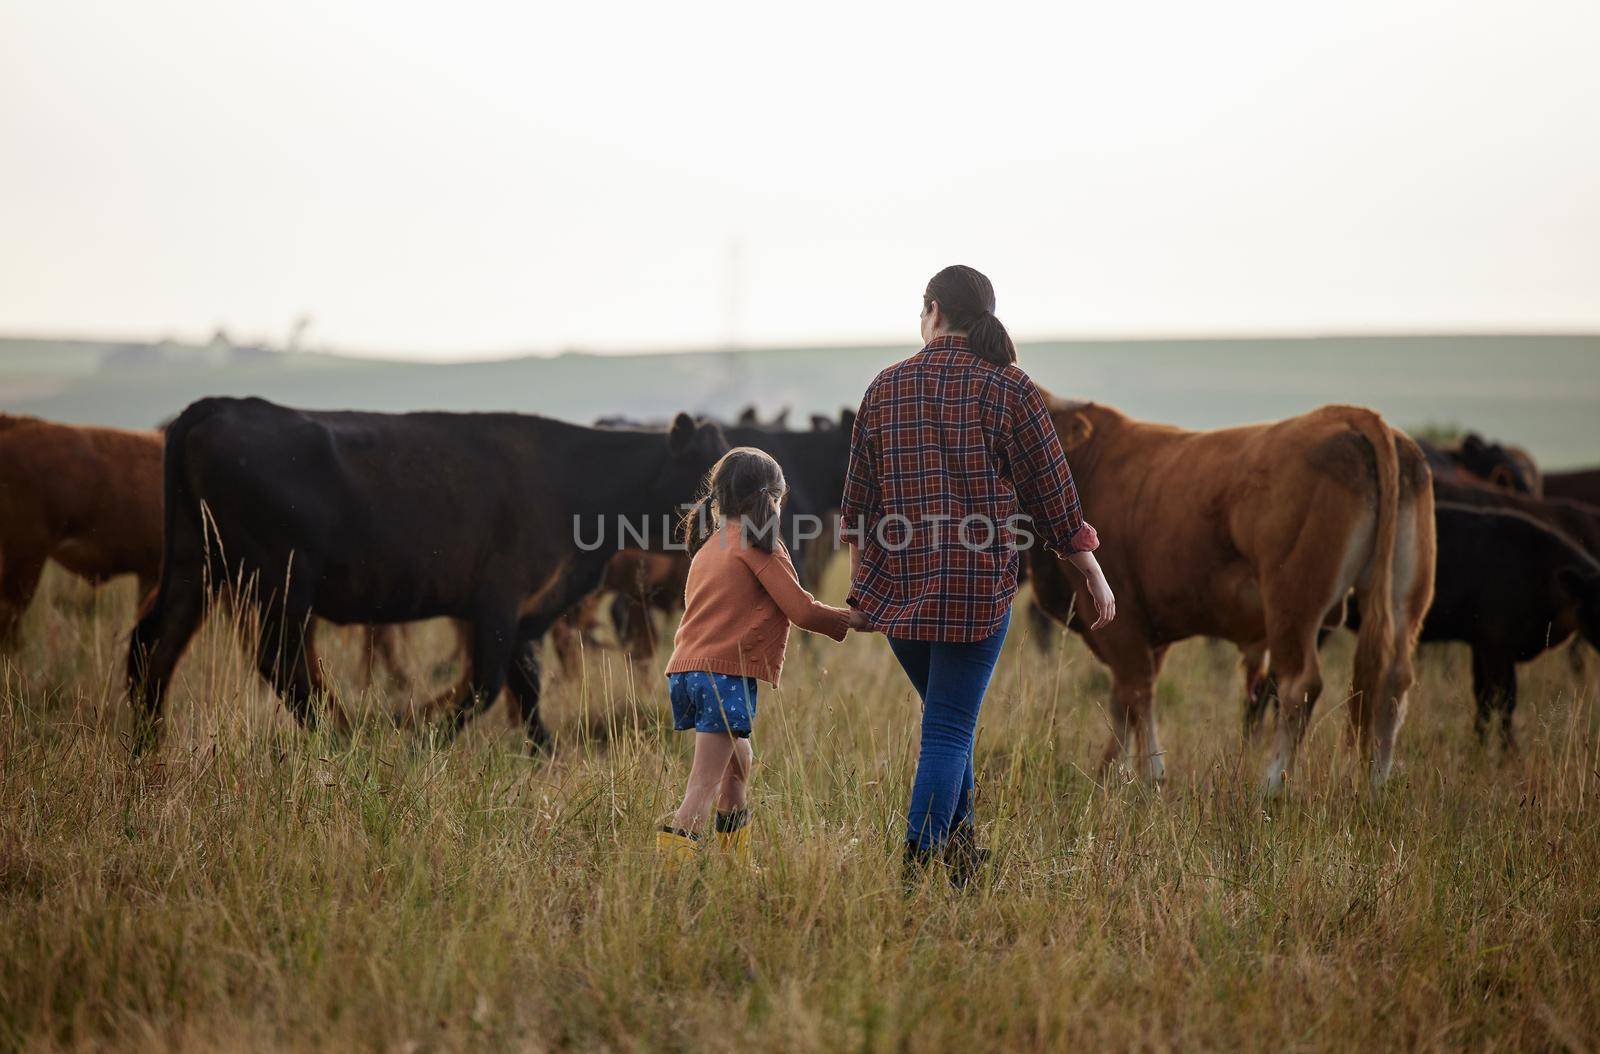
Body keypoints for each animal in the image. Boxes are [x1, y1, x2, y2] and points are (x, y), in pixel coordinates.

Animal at [126, 398, 726, 751]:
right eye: (706, 471)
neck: (574, 479)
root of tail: (223, 407)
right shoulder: (497, 601)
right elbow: (485, 683)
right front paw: (421, 730)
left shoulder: (529, 611)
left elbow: (524, 684)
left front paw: (544, 751)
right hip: (280, 583)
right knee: (282, 663)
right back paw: (342, 734)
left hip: (196, 570)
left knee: (154, 644)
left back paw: (149, 744)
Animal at [1036, 401, 1440, 793]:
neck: (1092, 460)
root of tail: (1352, 416)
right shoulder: (1152, 633)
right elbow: (1125, 702)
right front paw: (1109, 773)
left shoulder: (1122, 623)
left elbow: (1136, 692)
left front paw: (1148, 775)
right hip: (1403, 600)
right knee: (1394, 680)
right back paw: (1376, 785)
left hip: (1291, 605)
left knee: (1299, 685)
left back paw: (1272, 785)